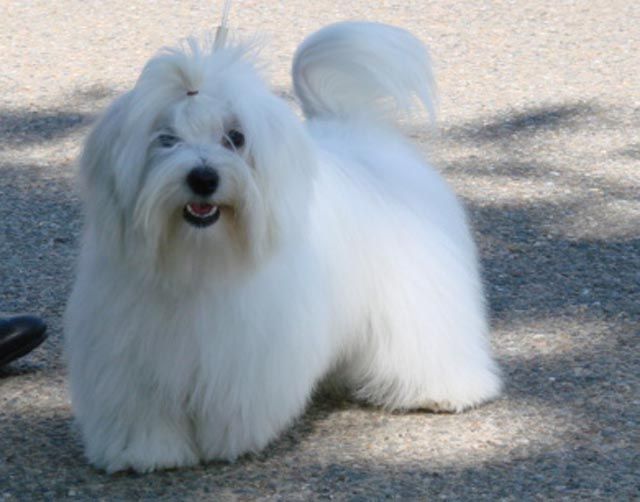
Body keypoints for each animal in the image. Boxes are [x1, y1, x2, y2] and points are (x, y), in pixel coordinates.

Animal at [65, 22, 501, 473]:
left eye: (235, 137)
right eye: (165, 139)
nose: (203, 178)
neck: (198, 260)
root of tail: (360, 130)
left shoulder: (245, 353)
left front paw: (226, 443)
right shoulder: (130, 353)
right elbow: (141, 410)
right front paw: (143, 452)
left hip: (420, 295)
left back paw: (442, 391)